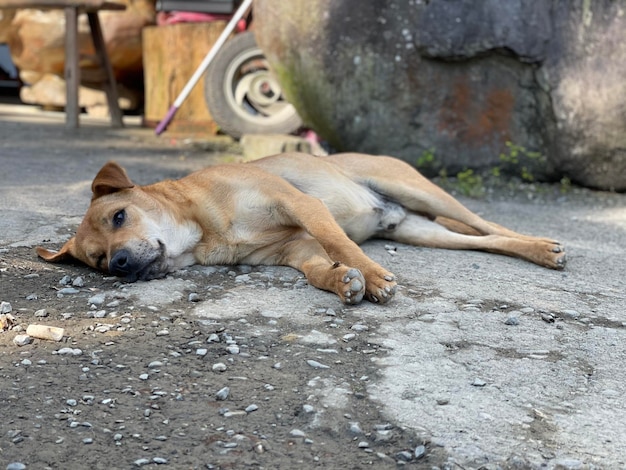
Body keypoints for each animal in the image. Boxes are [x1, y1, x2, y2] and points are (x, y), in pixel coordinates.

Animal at [37, 151, 564, 304]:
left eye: (118, 217)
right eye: (98, 261)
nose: (121, 265)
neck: (205, 228)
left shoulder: (301, 205)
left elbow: (338, 240)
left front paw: (373, 276)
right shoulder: (293, 248)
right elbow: (316, 267)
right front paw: (343, 280)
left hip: (421, 191)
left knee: (486, 223)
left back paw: (543, 245)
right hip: (419, 230)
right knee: (487, 241)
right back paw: (536, 251)